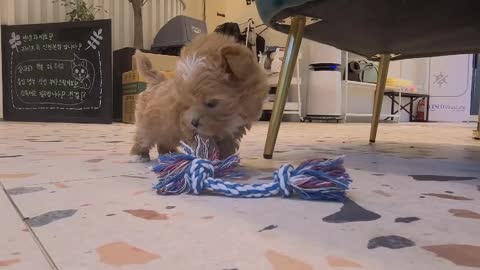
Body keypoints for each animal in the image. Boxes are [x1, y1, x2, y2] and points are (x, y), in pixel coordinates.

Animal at [129, 32, 268, 161]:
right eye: (188, 103)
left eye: (211, 103)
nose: (194, 122)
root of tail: (158, 81)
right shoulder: (193, 130)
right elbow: (205, 145)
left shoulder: (234, 130)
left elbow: (227, 146)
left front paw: (225, 160)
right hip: (148, 122)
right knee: (144, 137)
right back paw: (139, 154)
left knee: (165, 139)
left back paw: (168, 153)